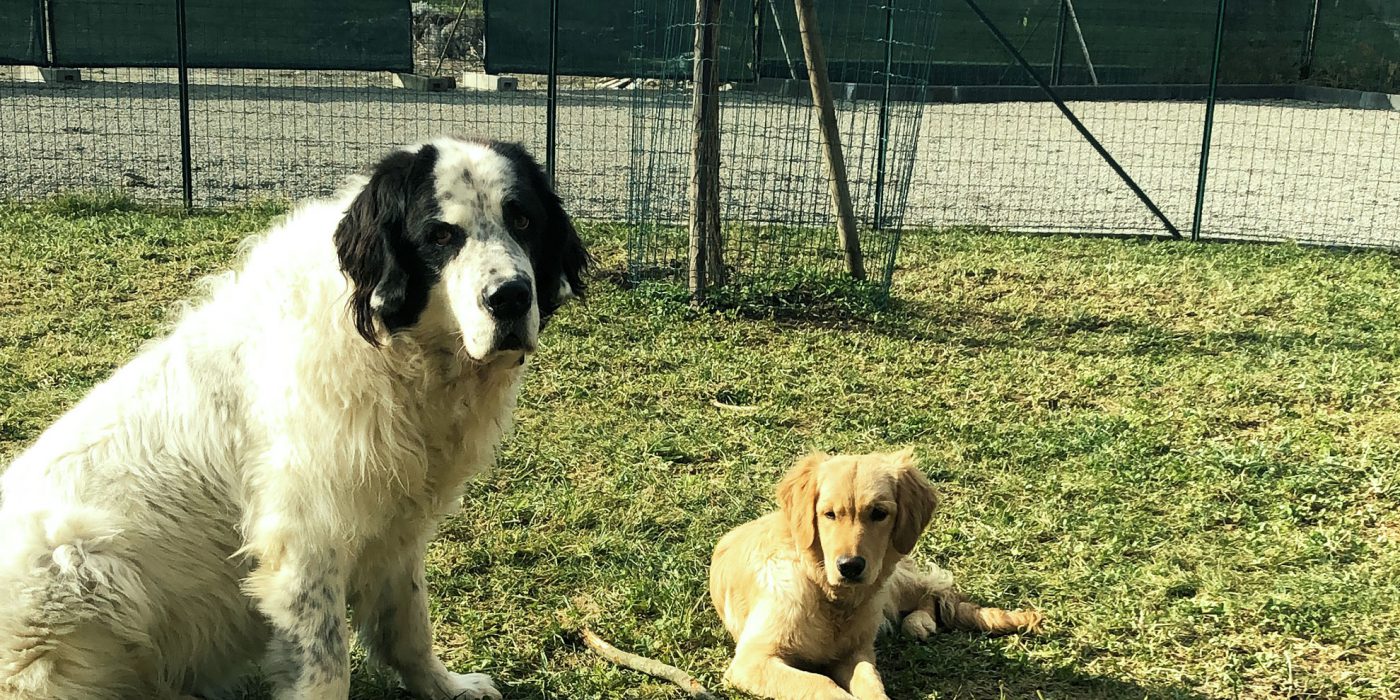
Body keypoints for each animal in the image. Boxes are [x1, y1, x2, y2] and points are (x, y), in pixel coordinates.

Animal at [0, 133, 585, 697]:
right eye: (441, 236)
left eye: (523, 221)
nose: (511, 297)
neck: (398, 352)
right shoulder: (306, 539)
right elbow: (328, 666)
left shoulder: (396, 524)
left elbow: (410, 626)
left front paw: (447, 687)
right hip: (81, 561)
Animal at [711, 450, 1041, 697]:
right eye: (829, 514)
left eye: (879, 513)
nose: (850, 566)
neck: (827, 593)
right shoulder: (753, 661)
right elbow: (822, 684)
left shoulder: (856, 653)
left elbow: (870, 682)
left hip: (891, 584)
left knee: (934, 590)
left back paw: (922, 621)